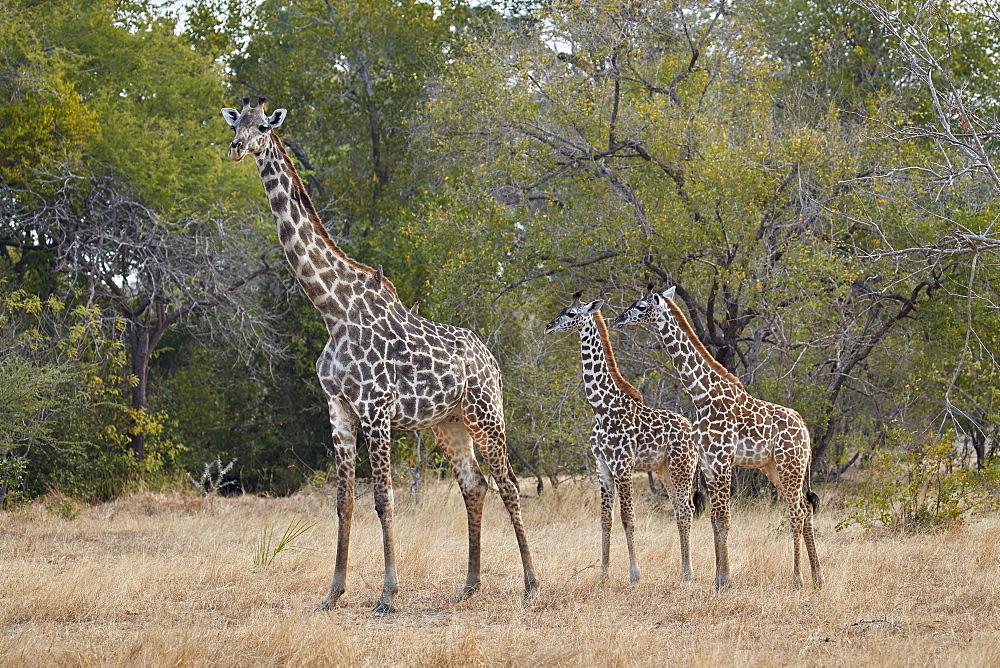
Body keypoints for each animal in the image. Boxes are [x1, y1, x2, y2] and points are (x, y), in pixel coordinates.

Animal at [225, 96, 540, 612]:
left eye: (264, 128)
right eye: (237, 123)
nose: (235, 147)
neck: (331, 309)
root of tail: (491, 359)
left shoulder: (375, 410)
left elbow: (384, 499)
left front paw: (388, 594)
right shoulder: (338, 408)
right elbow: (345, 500)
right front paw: (333, 592)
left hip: (486, 412)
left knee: (509, 484)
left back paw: (532, 583)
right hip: (448, 422)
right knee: (474, 485)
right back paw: (470, 585)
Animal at [548, 292, 704, 584]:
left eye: (572, 314)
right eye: (561, 310)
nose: (549, 326)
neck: (601, 408)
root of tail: (692, 432)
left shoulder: (622, 465)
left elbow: (628, 517)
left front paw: (634, 576)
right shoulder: (602, 467)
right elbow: (605, 519)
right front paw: (603, 574)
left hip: (682, 468)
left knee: (687, 510)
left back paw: (688, 574)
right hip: (665, 471)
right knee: (679, 511)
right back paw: (683, 571)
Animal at [612, 284, 824, 588]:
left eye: (641, 307)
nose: (618, 319)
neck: (702, 395)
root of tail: (805, 431)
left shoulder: (722, 459)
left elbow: (723, 518)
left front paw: (725, 580)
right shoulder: (708, 462)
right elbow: (714, 519)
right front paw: (717, 578)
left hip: (789, 464)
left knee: (797, 512)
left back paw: (797, 580)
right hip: (775, 468)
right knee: (805, 510)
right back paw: (818, 577)